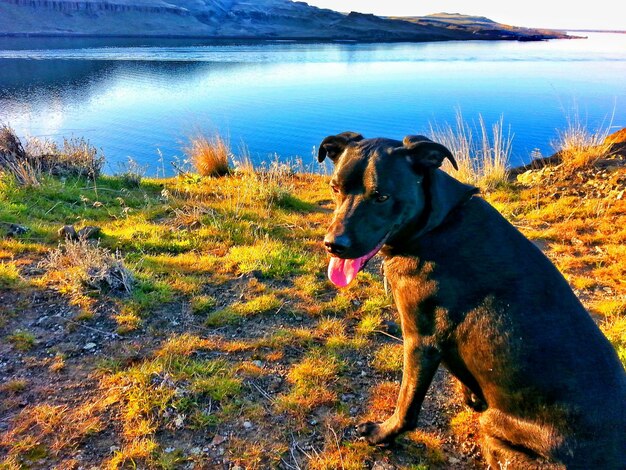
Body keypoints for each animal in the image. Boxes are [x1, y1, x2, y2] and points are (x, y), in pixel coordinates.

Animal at [316, 132, 624, 470]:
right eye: (335, 188)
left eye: (382, 197)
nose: (333, 245)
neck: (436, 225)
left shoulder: (420, 341)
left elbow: (407, 403)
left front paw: (382, 433)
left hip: (495, 430)